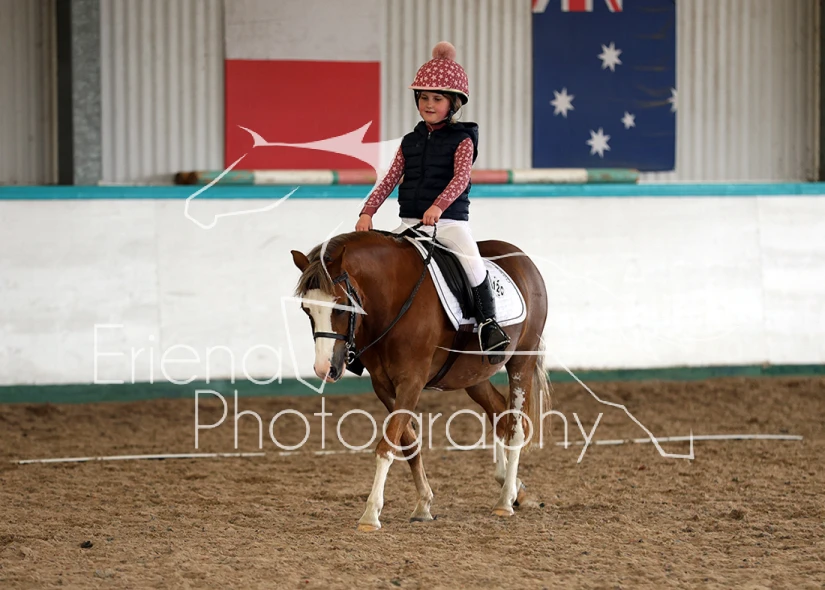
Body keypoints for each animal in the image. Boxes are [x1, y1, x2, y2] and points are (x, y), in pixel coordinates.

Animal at [290, 227, 550, 531]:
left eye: (342, 307)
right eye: (307, 310)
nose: (324, 369)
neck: (393, 300)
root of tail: (523, 259)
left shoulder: (411, 381)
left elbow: (387, 444)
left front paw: (370, 514)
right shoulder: (384, 386)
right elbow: (408, 442)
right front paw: (424, 504)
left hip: (522, 360)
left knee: (516, 427)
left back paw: (506, 499)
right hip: (472, 376)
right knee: (499, 413)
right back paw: (515, 489)